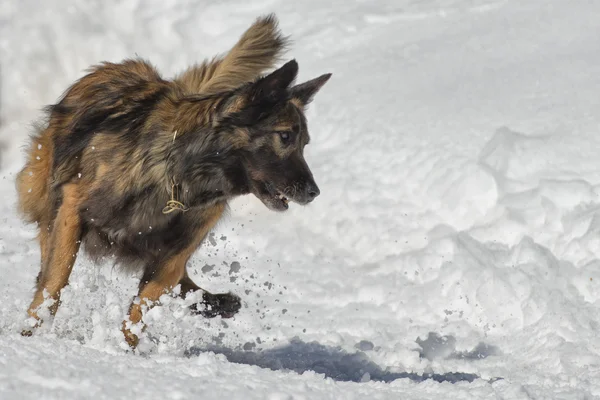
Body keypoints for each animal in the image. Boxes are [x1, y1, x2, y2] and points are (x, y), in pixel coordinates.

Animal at [15, 14, 332, 348]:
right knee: (47, 252)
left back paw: (215, 302)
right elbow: (57, 277)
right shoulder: (73, 210)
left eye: (305, 144)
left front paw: (126, 347)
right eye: (285, 137)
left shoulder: (171, 255)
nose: (314, 192)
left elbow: (143, 306)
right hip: (47, 196)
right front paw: (33, 329)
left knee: (181, 281)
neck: (180, 174)